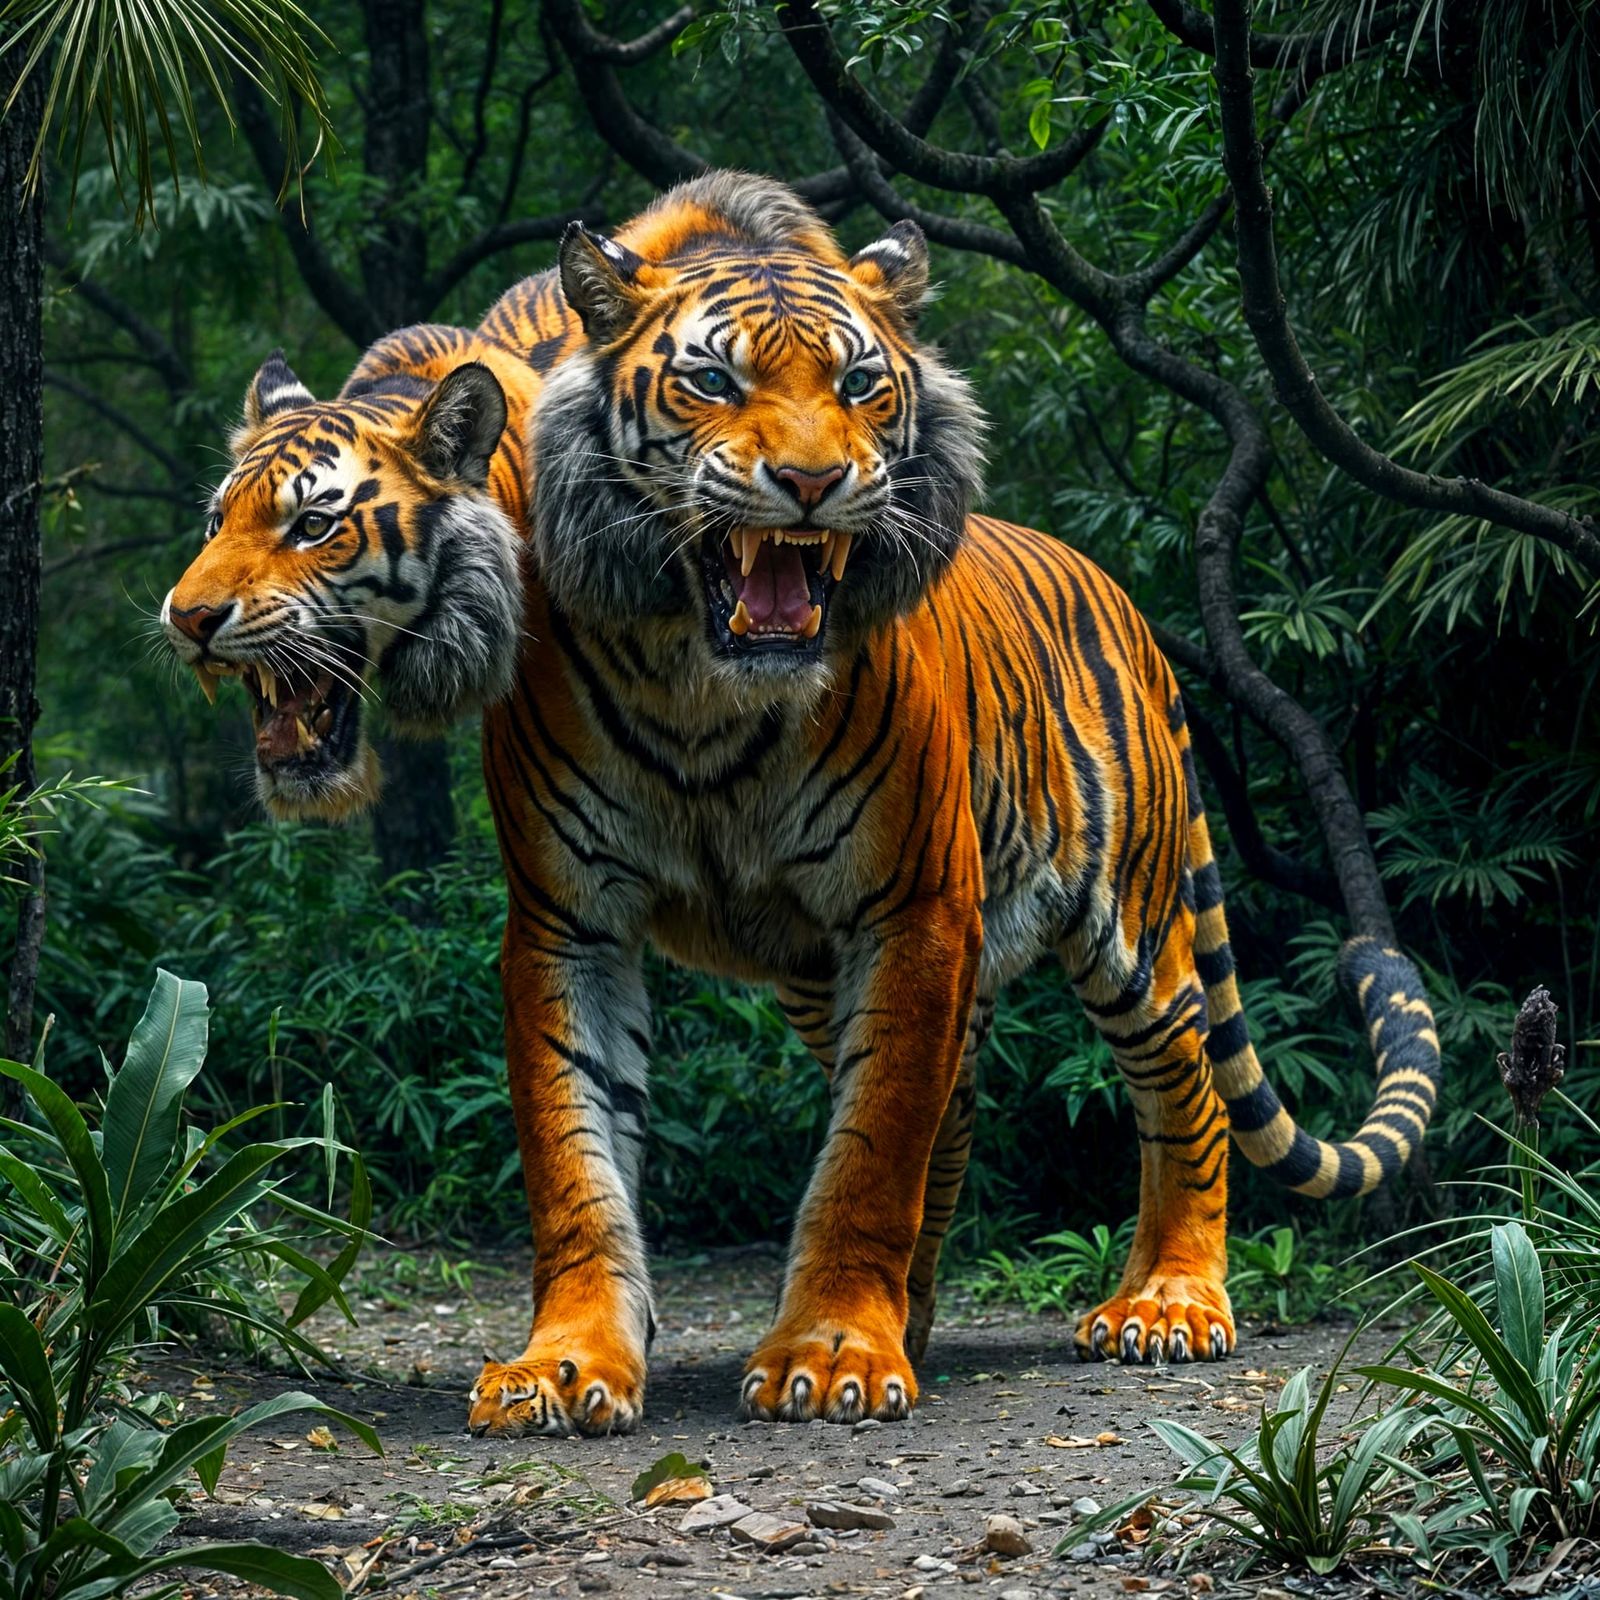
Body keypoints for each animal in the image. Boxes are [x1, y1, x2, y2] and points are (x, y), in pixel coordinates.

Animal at [161, 170, 1441, 1440]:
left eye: (315, 522)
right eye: (219, 520)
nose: (190, 616)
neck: (692, 675)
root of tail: (1130, 609)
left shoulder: (912, 907)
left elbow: (868, 1153)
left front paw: (830, 1353)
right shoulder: (569, 921)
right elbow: (576, 1155)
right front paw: (566, 1363)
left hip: (1125, 928)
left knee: (1183, 1087)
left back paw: (1168, 1298)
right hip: (821, 977)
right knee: (958, 1106)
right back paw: (919, 1310)